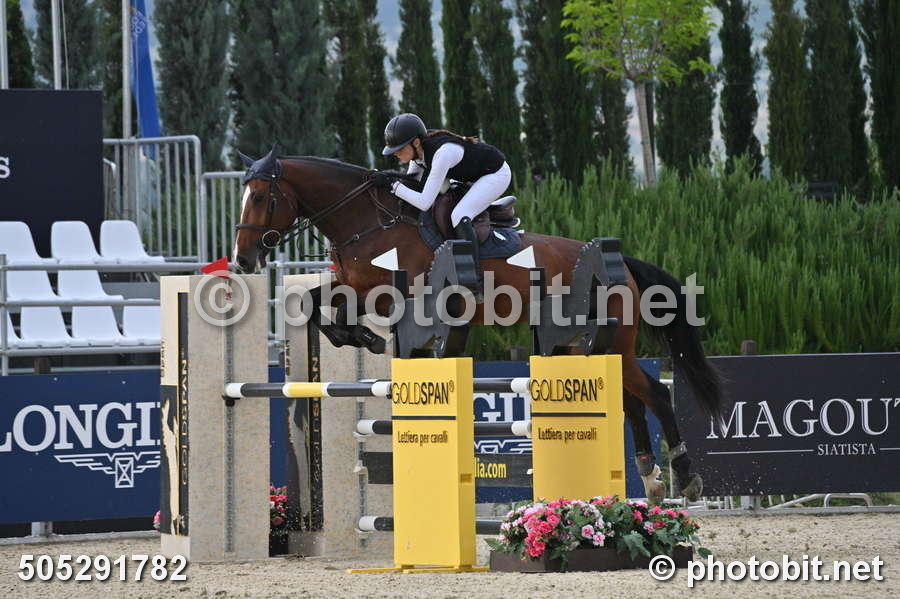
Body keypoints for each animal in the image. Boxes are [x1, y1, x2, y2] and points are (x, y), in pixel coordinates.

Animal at [232, 146, 724, 503]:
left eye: (260, 197)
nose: (242, 260)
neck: (370, 222)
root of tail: (620, 263)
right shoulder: (351, 285)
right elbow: (314, 304)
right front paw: (361, 336)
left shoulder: (390, 294)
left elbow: (339, 310)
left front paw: (366, 336)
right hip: (592, 346)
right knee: (632, 401)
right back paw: (651, 478)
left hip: (615, 340)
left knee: (656, 393)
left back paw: (685, 477)